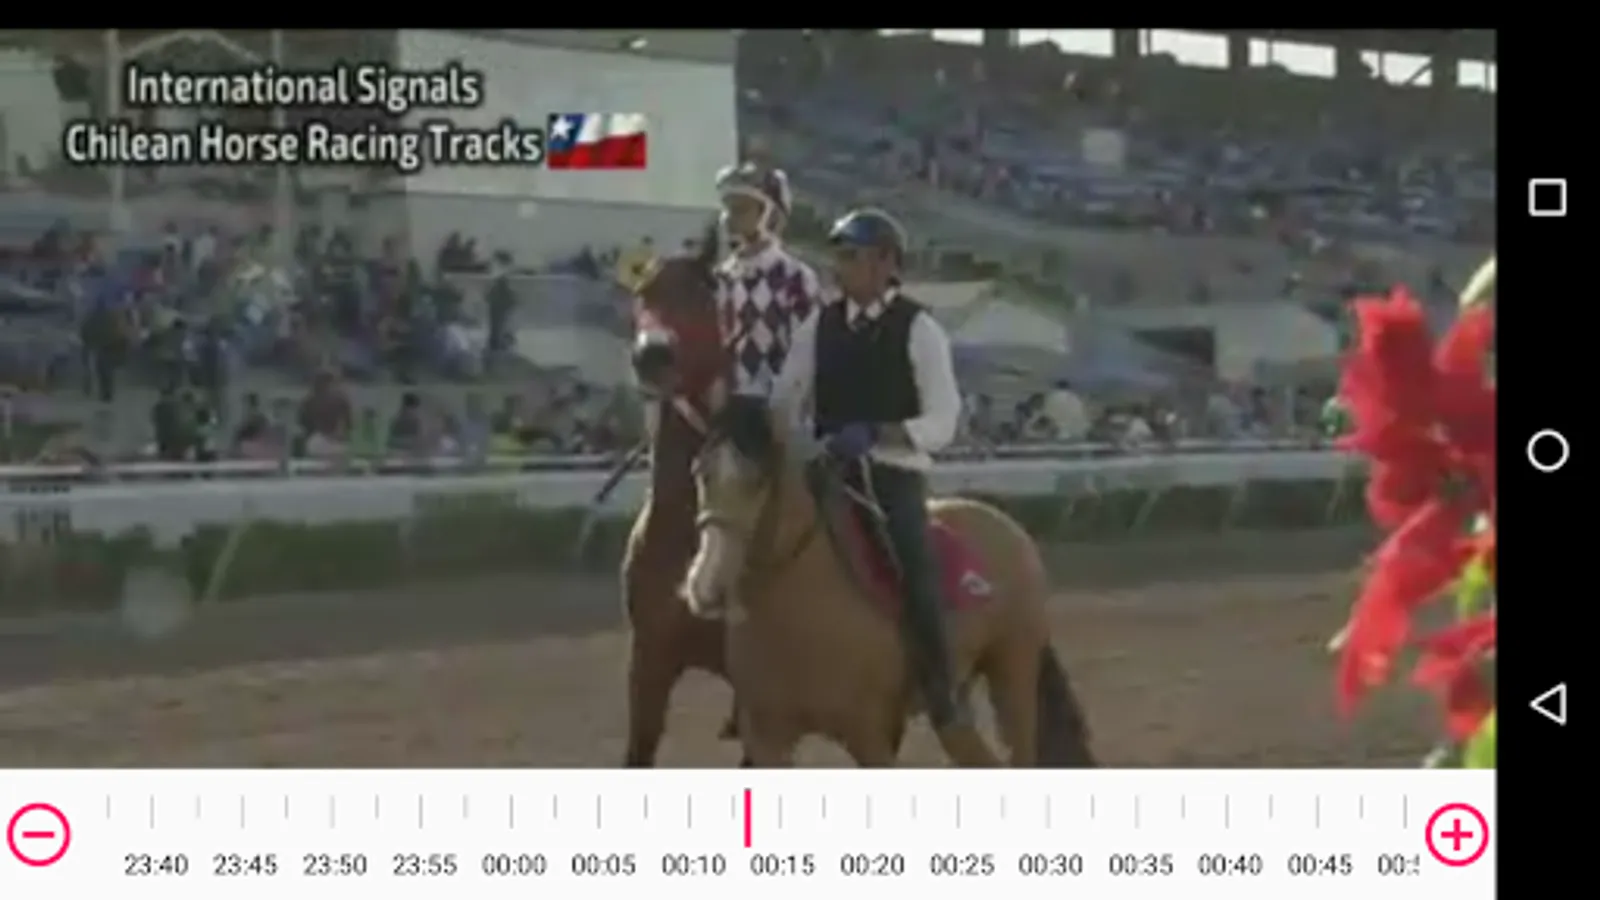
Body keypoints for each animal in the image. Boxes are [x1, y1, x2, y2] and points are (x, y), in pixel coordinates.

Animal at [681, 395, 1097, 767]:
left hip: (1013, 667)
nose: (705, 586)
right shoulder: (768, 739)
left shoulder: (868, 735)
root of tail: (1008, 527)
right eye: (701, 472)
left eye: (758, 480)